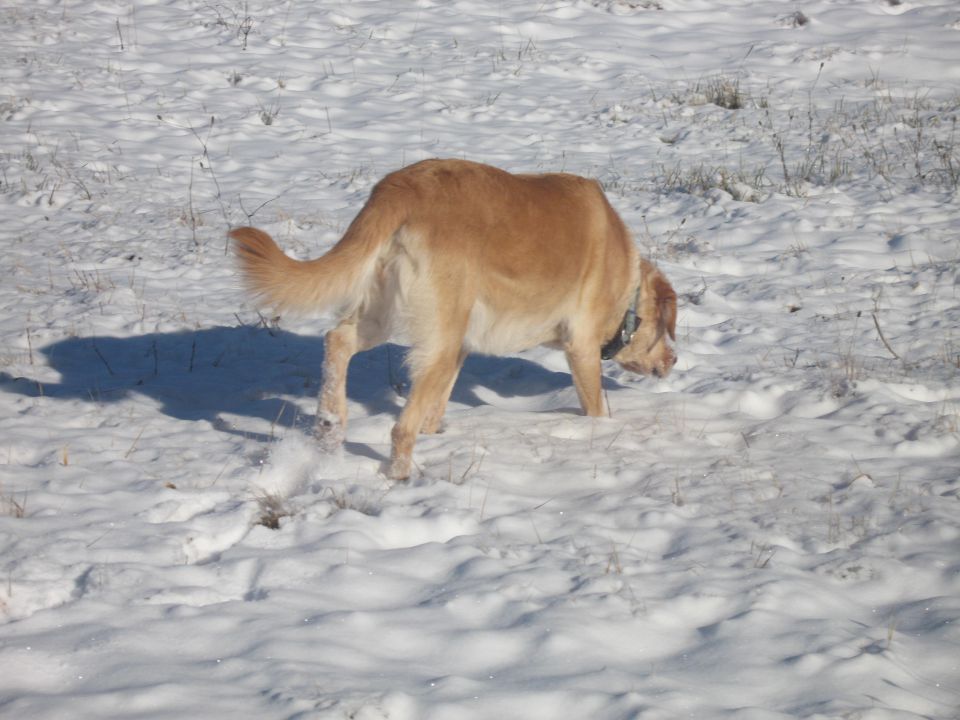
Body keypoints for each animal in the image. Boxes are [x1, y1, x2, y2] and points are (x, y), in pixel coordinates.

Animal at [231, 160, 676, 480]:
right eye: (668, 330)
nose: (674, 362)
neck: (628, 291)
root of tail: (400, 189)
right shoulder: (580, 349)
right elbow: (597, 408)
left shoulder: (461, 346)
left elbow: (436, 407)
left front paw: (438, 433)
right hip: (437, 341)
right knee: (400, 427)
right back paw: (400, 474)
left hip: (391, 317)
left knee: (337, 340)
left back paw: (330, 422)